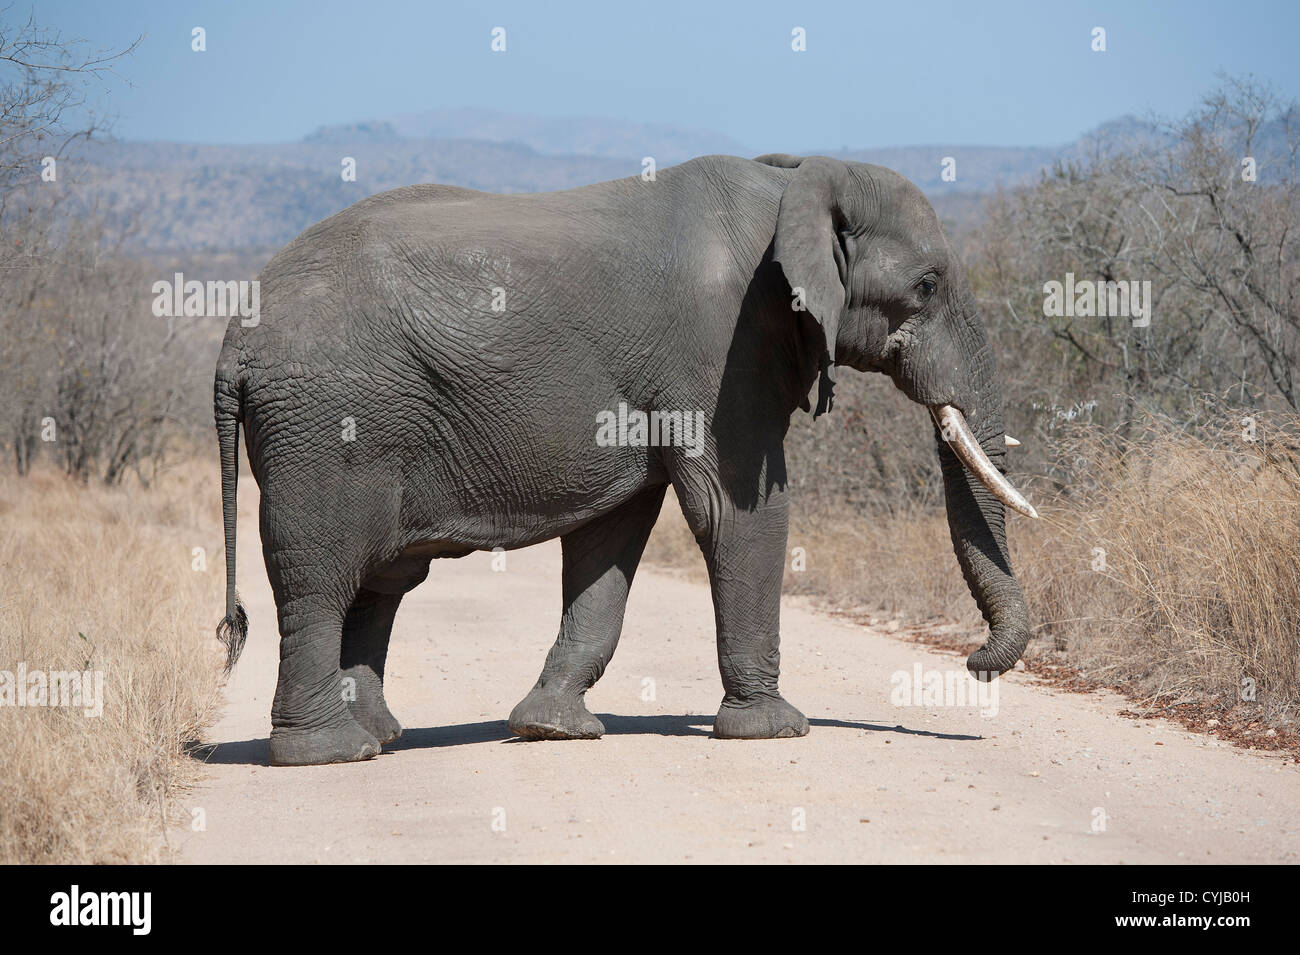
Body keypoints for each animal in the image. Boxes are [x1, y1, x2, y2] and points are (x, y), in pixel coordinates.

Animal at [218, 157, 1040, 769]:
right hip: (326, 422)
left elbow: (612, 535)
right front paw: (776, 730)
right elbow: (737, 512)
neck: (795, 180)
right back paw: (329, 752)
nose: (973, 664)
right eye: (927, 285)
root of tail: (236, 337)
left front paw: (551, 728)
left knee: (382, 580)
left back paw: (381, 737)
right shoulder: (723, 345)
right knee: (323, 574)